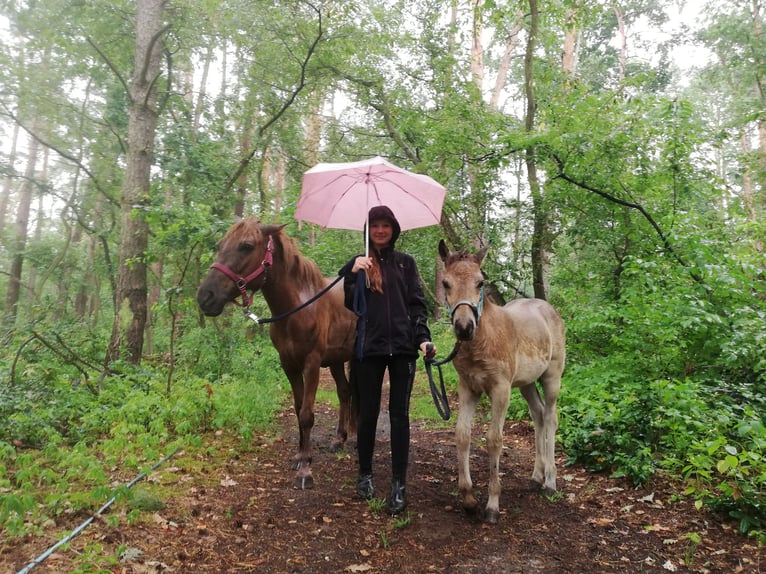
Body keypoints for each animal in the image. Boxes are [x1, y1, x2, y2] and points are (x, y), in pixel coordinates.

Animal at [196, 220, 356, 490]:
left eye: (246, 246)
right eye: (219, 245)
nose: (205, 297)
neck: (297, 309)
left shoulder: (312, 364)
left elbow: (307, 415)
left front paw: (305, 471)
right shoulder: (289, 365)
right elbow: (298, 408)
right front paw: (300, 456)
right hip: (335, 360)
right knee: (345, 392)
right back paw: (339, 439)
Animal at [438, 241, 564, 524]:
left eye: (481, 282)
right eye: (446, 283)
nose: (464, 327)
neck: (483, 340)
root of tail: (548, 308)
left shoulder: (500, 389)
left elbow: (494, 439)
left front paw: (492, 505)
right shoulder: (468, 388)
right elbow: (462, 435)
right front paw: (469, 499)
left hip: (552, 377)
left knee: (550, 417)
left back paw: (550, 482)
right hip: (527, 382)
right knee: (538, 414)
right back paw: (536, 476)